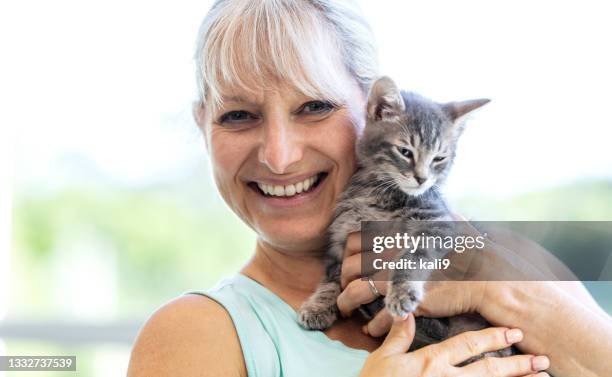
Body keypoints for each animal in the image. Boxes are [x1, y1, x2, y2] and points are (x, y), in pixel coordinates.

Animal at [298, 75, 510, 356]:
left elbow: (412, 257)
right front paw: (318, 306)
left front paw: (401, 292)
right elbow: (330, 279)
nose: (422, 178)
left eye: (439, 158)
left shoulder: (437, 222)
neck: (381, 192)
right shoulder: (340, 240)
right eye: (405, 152)